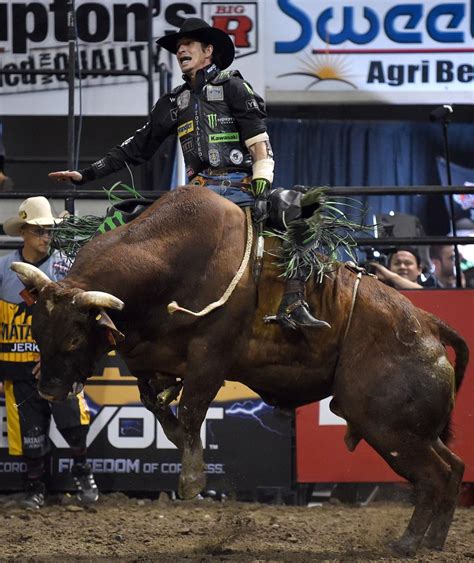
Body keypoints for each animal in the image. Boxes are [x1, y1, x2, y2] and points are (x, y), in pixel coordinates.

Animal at [12, 187, 470, 556]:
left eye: (74, 338)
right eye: (35, 330)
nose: (48, 389)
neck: (170, 259)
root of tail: (429, 324)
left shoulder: (211, 355)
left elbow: (192, 410)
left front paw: (192, 478)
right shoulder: (148, 359)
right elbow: (158, 407)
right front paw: (179, 444)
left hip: (388, 427)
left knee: (433, 477)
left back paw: (408, 543)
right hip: (409, 430)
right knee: (453, 469)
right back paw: (432, 540)